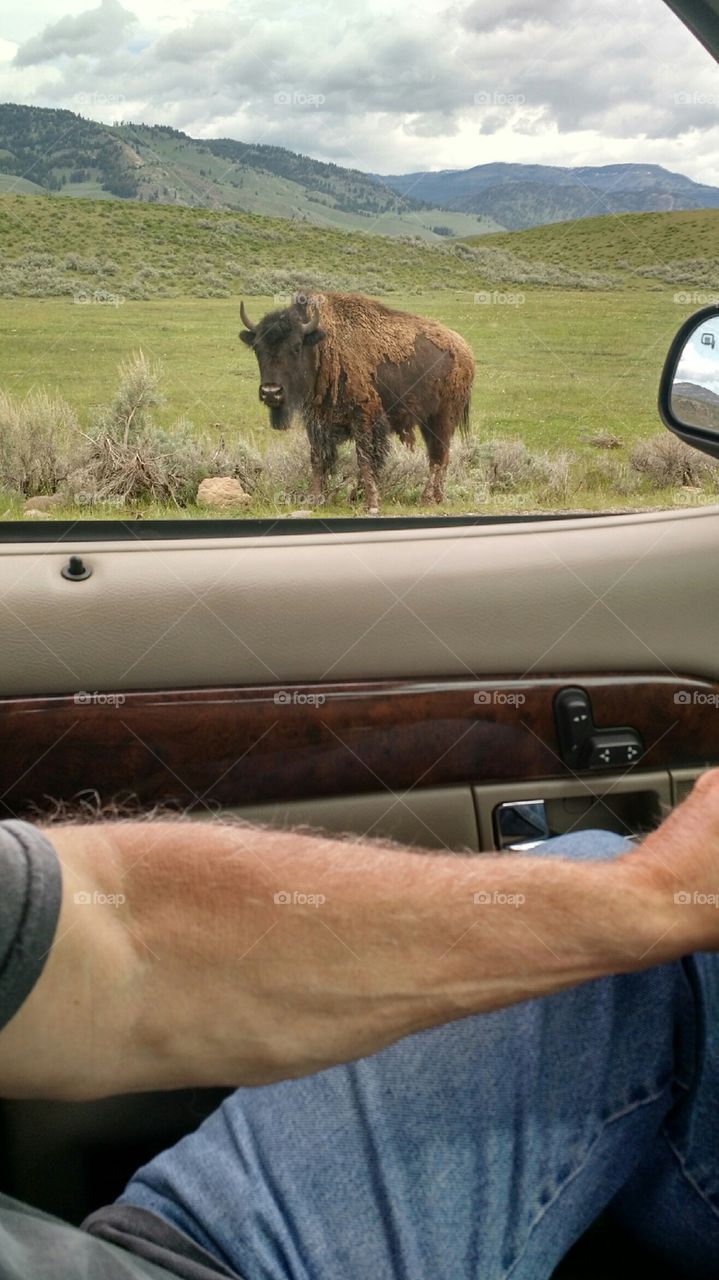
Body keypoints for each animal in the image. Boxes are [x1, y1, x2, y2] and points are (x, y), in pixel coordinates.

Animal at [237, 290, 473, 509]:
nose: (271, 392)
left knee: (438, 456)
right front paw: (314, 499)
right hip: (428, 421)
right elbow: (318, 457)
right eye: (257, 348)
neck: (322, 347)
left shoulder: (365, 417)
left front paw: (370, 503)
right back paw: (437, 498)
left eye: (296, 346)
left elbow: (365, 459)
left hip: (441, 418)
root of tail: (464, 349)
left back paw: (426, 500)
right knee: (441, 456)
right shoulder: (317, 421)